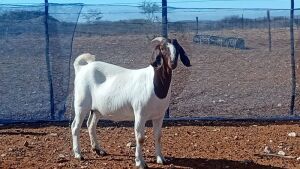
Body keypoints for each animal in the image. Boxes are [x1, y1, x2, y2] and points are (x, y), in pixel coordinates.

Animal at [71, 36, 191, 168]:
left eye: (178, 49)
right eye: (163, 49)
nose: (173, 63)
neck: (153, 83)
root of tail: (81, 68)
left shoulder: (159, 116)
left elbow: (158, 136)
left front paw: (161, 159)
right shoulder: (140, 114)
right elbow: (140, 138)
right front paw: (140, 162)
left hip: (97, 109)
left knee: (91, 125)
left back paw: (98, 150)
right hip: (81, 104)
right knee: (75, 127)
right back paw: (78, 154)